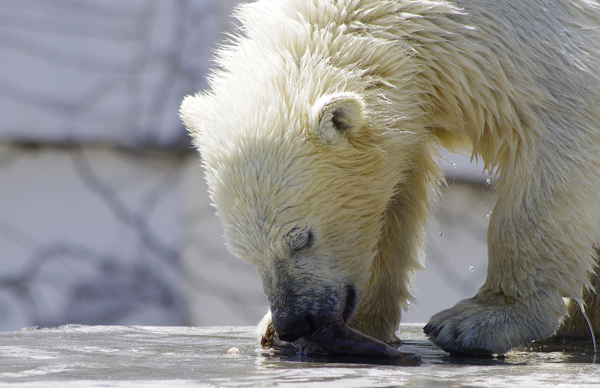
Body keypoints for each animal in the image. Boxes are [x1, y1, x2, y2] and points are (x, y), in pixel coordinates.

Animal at [182, 0, 600, 354]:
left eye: (302, 239)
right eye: (244, 254)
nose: (294, 324)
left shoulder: (540, 52)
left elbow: (552, 152)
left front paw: (481, 319)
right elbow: (394, 197)